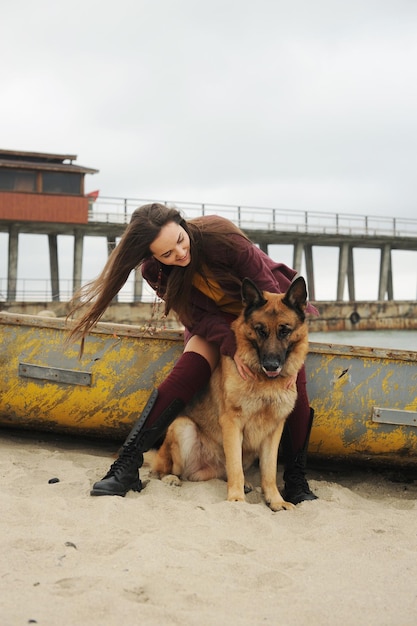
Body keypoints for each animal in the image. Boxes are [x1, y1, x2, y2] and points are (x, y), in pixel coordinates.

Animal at [150, 276, 308, 510]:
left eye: (284, 331)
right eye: (260, 330)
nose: (271, 365)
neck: (264, 382)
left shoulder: (273, 431)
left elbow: (269, 472)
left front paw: (276, 501)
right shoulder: (232, 423)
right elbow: (235, 468)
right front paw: (236, 499)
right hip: (181, 426)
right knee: (166, 469)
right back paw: (170, 477)